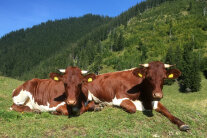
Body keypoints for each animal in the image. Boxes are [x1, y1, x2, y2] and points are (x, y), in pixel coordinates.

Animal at [53, 61, 189, 132]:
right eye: (149, 77)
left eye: (164, 78)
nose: (158, 94)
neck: (144, 97)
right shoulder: (119, 98)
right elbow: (132, 108)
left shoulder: (154, 101)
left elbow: (168, 112)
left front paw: (182, 123)